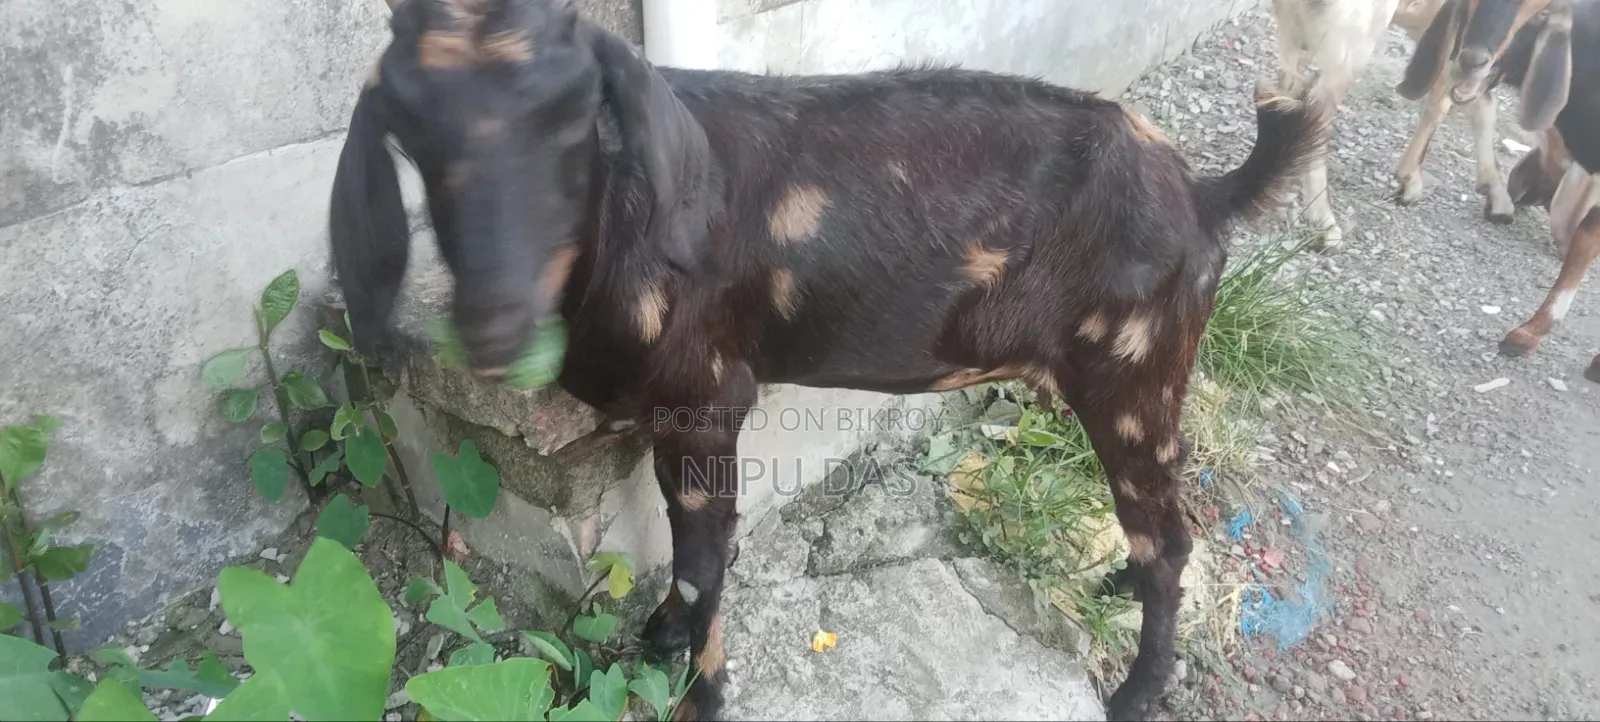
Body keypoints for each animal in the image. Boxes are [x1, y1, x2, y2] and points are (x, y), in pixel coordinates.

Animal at [327, 0, 1330, 719]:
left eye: (572, 116)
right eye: (409, 124)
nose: (494, 329)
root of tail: (1206, 193)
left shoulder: (708, 397)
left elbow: (703, 563)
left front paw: (700, 695)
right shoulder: (669, 416)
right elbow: (687, 553)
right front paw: (660, 640)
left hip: (1135, 374)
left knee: (1169, 534)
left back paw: (1133, 694)